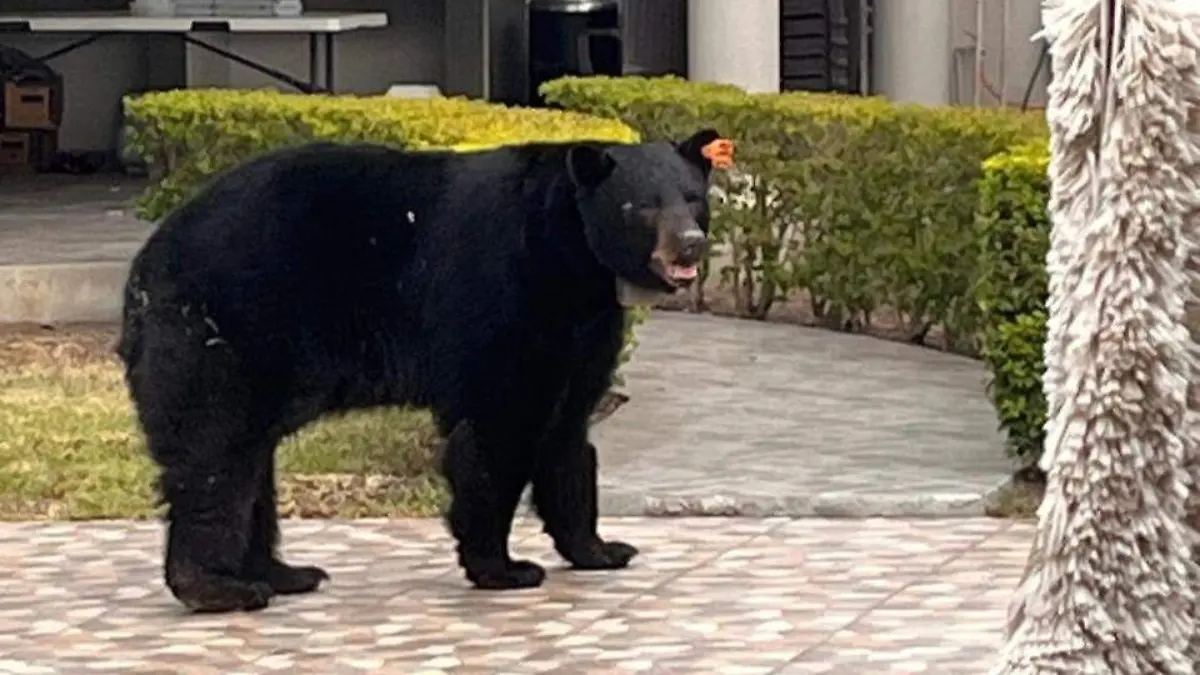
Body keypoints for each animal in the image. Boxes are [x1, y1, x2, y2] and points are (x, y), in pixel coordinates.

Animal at [116, 127, 730, 613]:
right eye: (641, 206)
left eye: (693, 198)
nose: (691, 244)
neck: (572, 256)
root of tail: (144, 267)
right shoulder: (507, 292)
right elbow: (497, 428)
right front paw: (502, 567)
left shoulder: (586, 328)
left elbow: (568, 434)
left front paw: (600, 550)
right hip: (226, 327)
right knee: (215, 452)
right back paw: (220, 589)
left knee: (247, 456)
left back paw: (284, 573)